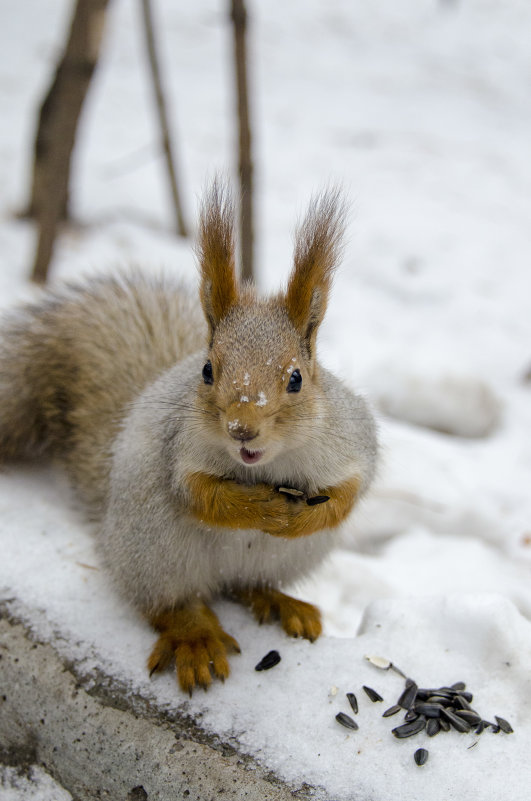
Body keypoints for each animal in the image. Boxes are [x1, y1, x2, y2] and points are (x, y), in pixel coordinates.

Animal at [0, 178, 378, 692]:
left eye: (297, 378)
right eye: (207, 370)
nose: (242, 430)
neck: (264, 465)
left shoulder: (350, 439)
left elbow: (350, 491)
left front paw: (303, 517)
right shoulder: (178, 447)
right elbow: (198, 493)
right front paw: (259, 508)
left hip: (285, 559)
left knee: (247, 585)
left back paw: (280, 603)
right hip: (153, 549)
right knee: (170, 603)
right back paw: (195, 637)